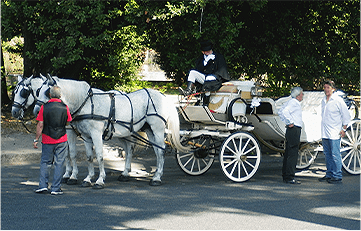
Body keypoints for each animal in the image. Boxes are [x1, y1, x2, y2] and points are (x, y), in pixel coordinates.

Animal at [34, 75, 188, 188]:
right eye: (37, 91)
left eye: (47, 92)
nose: (36, 112)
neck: (86, 103)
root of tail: (162, 96)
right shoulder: (85, 136)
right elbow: (88, 156)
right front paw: (87, 178)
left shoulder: (95, 134)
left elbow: (99, 156)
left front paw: (99, 180)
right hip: (141, 131)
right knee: (139, 150)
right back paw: (127, 174)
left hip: (157, 129)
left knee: (160, 150)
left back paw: (157, 178)